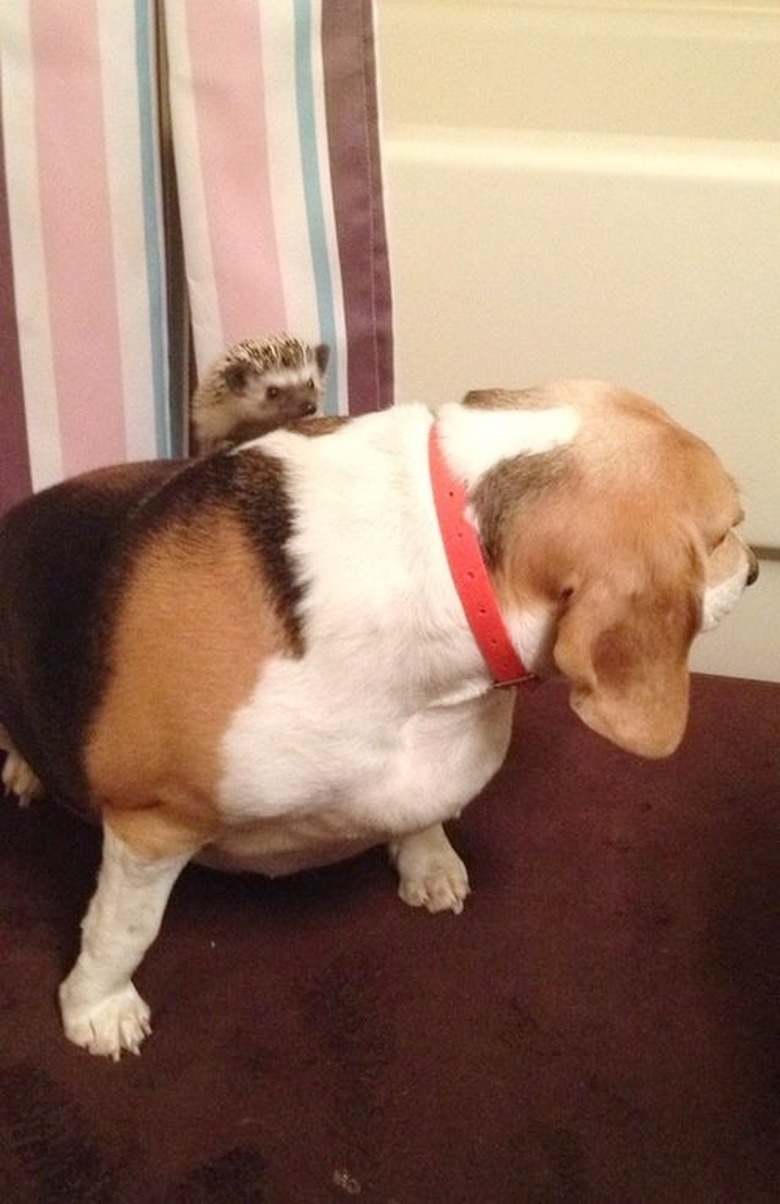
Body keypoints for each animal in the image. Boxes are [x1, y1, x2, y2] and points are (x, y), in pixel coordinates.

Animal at [0, 382, 755, 1054]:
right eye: (725, 532)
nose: (753, 574)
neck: (447, 560)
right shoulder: (152, 823)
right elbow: (124, 929)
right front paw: (97, 1007)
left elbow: (421, 814)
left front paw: (427, 861)